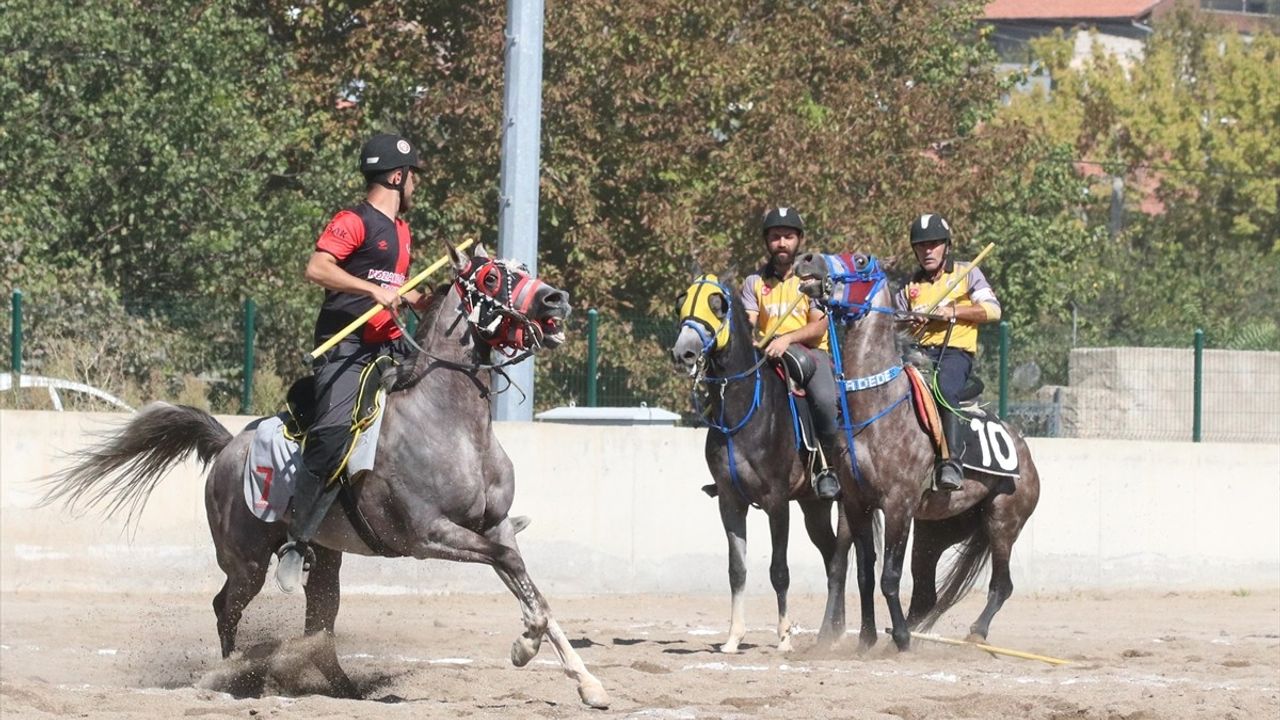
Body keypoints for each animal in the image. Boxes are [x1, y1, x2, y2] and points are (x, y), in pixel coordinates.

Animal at [42, 240, 611, 707]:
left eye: (525, 270)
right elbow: (516, 577)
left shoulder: (493, 526)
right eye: (492, 278)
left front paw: (587, 683)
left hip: (327, 558)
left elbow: (530, 586)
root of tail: (228, 446)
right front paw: (522, 647)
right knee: (226, 607)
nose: (556, 300)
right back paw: (232, 678)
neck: (451, 424)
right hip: (247, 562)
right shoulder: (428, 535)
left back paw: (343, 689)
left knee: (320, 626)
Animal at [670, 274, 880, 650]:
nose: (684, 352)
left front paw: (783, 637)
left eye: (717, 304)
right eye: (682, 303)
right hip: (813, 507)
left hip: (848, 505)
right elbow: (736, 570)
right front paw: (733, 638)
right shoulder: (730, 502)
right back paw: (833, 630)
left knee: (843, 558)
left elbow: (779, 571)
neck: (743, 411)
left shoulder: (777, 502)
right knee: (831, 557)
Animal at [793, 252, 1044, 645]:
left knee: (1002, 585)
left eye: (860, 260)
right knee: (927, 591)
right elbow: (864, 575)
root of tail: (1024, 452)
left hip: (1003, 521)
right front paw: (867, 638)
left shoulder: (899, 505)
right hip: (940, 529)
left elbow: (889, 577)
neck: (876, 409)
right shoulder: (858, 504)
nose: (808, 259)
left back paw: (973, 632)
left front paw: (899, 639)